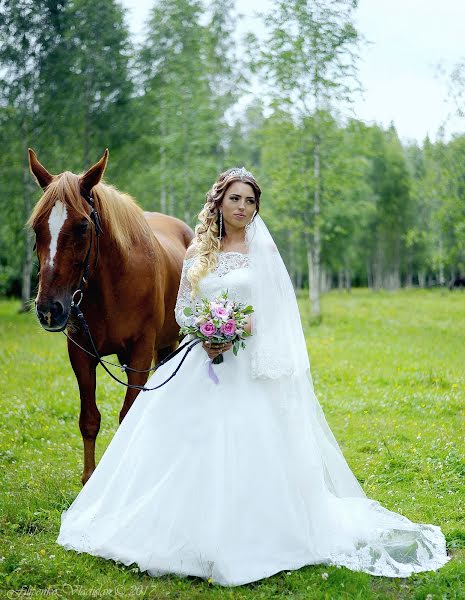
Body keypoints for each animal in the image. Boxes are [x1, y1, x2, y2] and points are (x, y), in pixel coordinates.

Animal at [26, 148, 193, 486]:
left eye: (82, 226)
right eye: (37, 227)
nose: (49, 309)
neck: (113, 285)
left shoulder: (140, 352)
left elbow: (127, 415)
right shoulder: (81, 354)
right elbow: (89, 419)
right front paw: (89, 478)